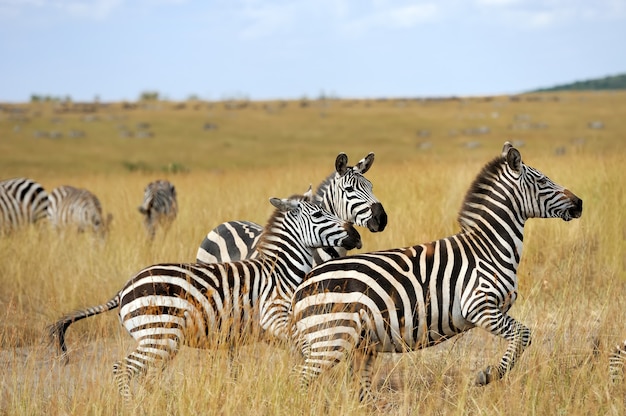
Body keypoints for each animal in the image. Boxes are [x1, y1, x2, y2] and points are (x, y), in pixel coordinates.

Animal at [48, 193, 360, 400]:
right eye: (319, 215)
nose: (356, 236)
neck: (281, 270)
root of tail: (125, 287)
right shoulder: (275, 317)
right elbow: (308, 349)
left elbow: (304, 352)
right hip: (159, 337)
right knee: (121, 369)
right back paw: (133, 404)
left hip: (156, 340)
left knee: (141, 372)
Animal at [290, 142, 584, 404]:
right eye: (543, 181)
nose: (580, 203)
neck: (488, 248)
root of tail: (304, 284)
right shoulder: (479, 306)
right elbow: (524, 335)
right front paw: (488, 375)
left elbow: (522, 336)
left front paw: (490, 373)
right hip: (330, 340)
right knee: (299, 382)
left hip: (359, 344)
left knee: (358, 392)